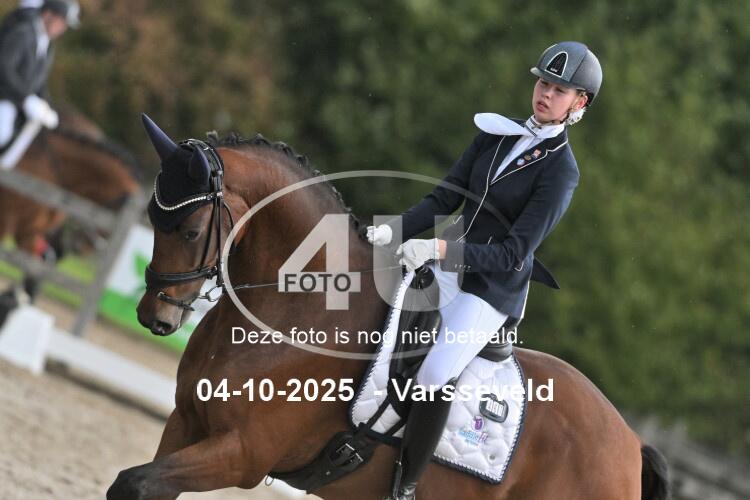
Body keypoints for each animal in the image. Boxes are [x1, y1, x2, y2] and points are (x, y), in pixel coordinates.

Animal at [107, 116, 670, 500]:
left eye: (189, 231)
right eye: (154, 217)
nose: (156, 316)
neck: (299, 307)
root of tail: (629, 441)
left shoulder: (241, 454)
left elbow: (134, 483)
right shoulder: (186, 422)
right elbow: (131, 483)